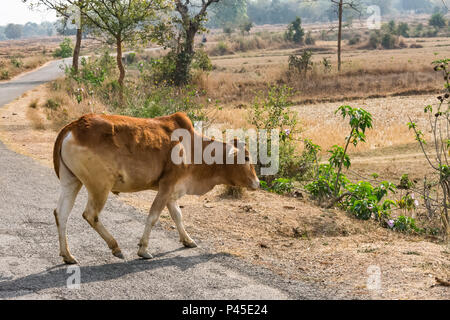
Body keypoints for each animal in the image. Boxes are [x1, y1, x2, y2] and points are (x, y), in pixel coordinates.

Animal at [51, 111, 260, 264]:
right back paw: (115, 247)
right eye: (246, 157)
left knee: (61, 214)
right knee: (90, 215)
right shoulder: (167, 185)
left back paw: (67, 255)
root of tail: (74, 126)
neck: (194, 147)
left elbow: (177, 216)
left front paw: (188, 240)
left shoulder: (171, 190)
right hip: (100, 186)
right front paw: (143, 249)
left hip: (72, 181)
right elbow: (153, 217)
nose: (257, 183)